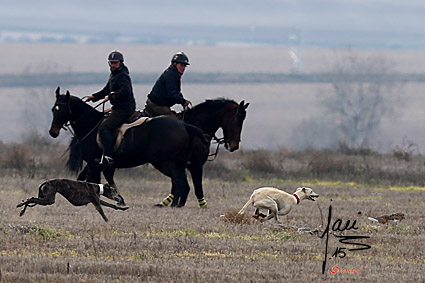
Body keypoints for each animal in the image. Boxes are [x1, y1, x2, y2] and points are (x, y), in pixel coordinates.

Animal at [49, 87, 205, 207]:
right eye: (53, 109)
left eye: (63, 110)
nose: (53, 132)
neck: (91, 125)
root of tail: (184, 126)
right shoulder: (95, 164)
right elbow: (86, 179)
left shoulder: (94, 164)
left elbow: (95, 182)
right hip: (178, 163)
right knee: (183, 182)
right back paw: (178, 204)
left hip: (164, 162)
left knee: (179, 179)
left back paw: (173, 205)